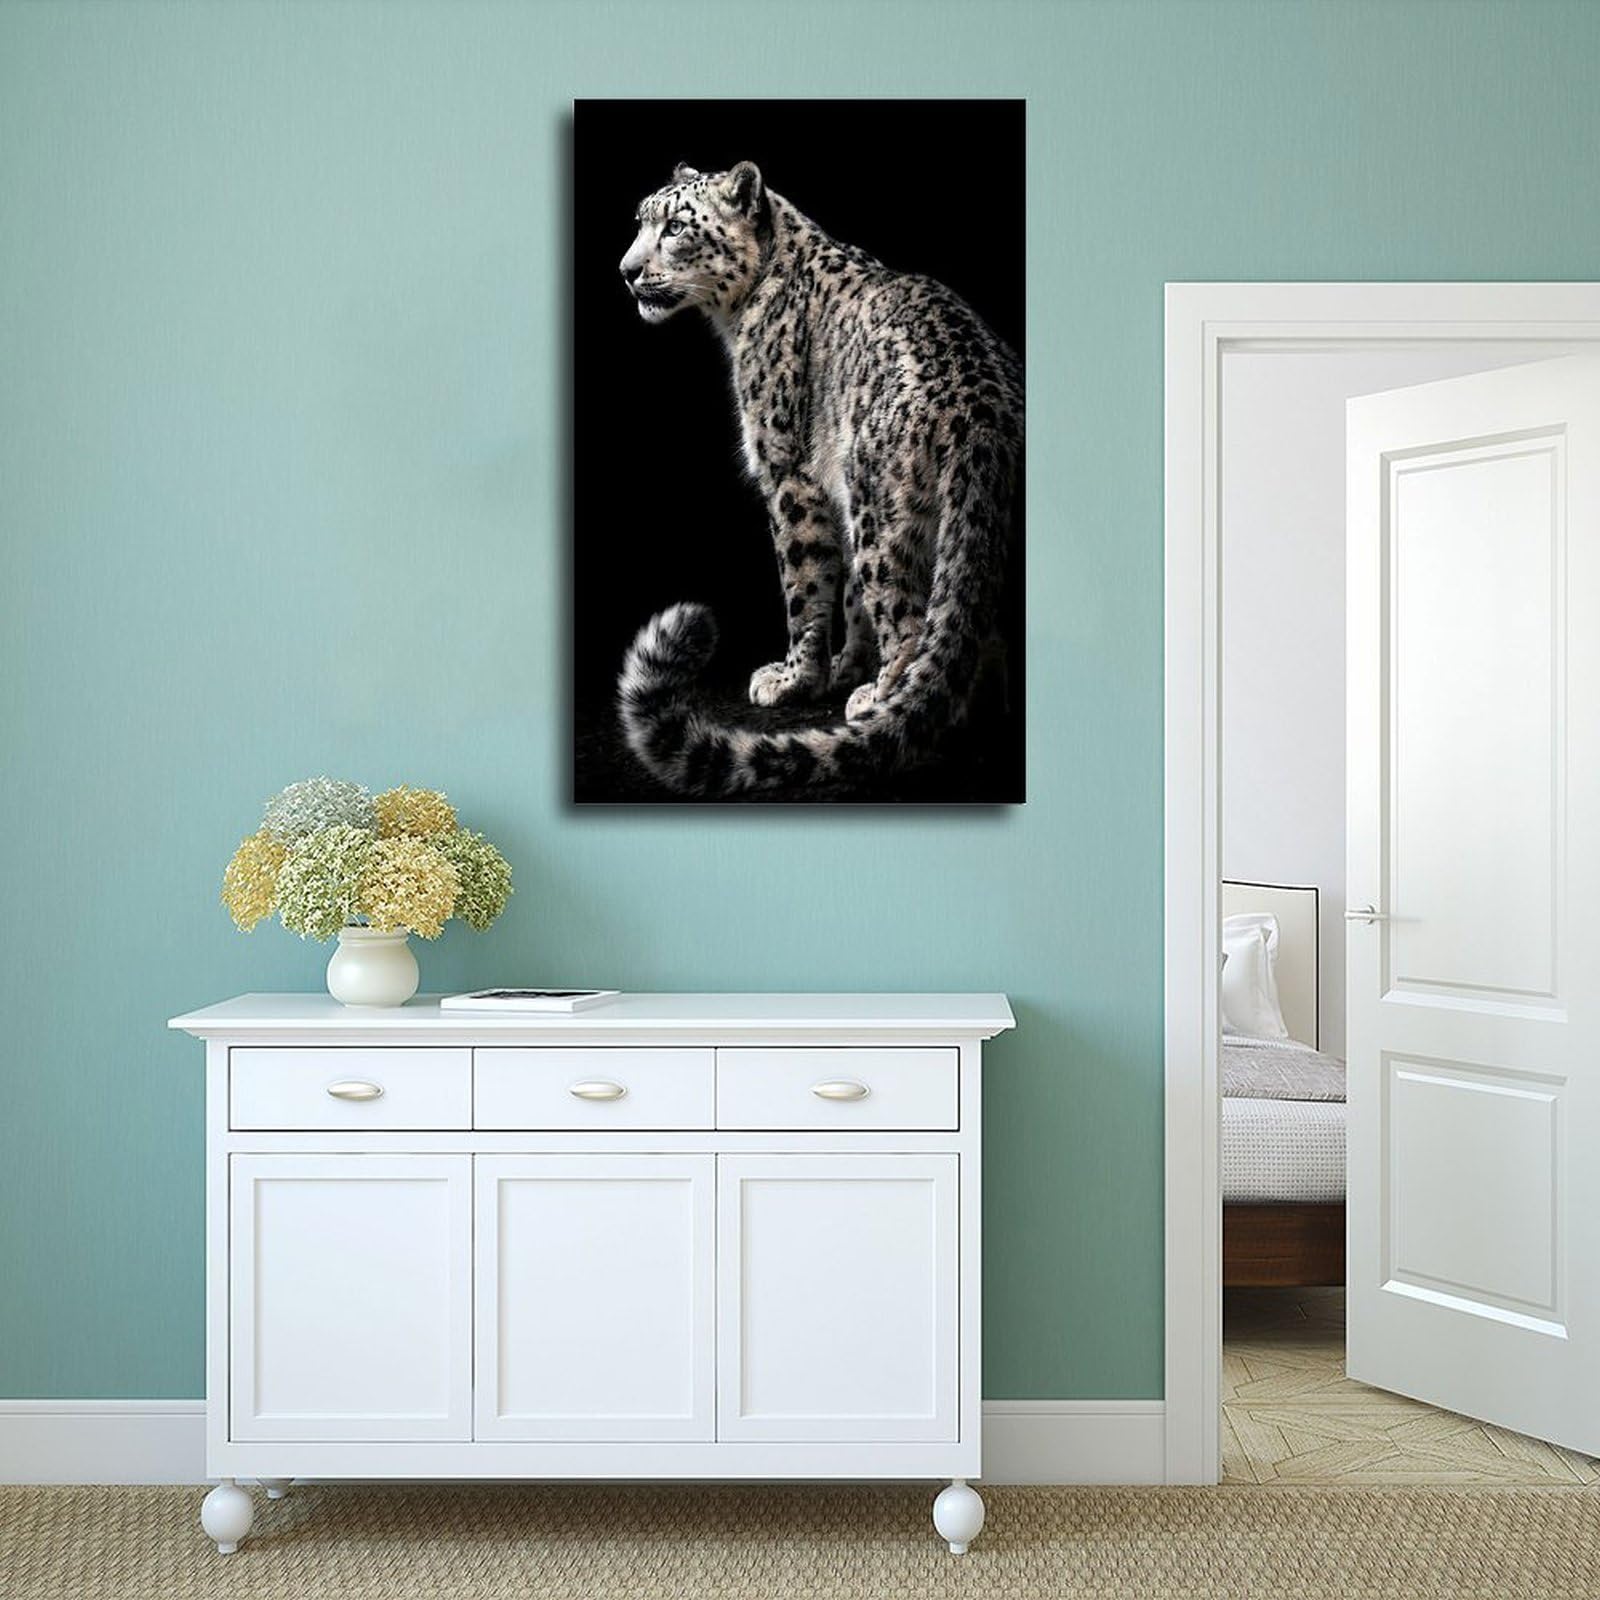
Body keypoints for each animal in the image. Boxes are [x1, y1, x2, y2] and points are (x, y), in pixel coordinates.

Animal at [613, 160, 1023, 798]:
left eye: (676, 226)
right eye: (640, 221)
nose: (627, 271)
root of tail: (984, 414)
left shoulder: (788, 473)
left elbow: (804, 588)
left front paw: (796, 680)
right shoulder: (832, 487)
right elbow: (849, 595)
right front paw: (846, 665)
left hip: (881, 510)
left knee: (910, 620)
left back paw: (882, 700)